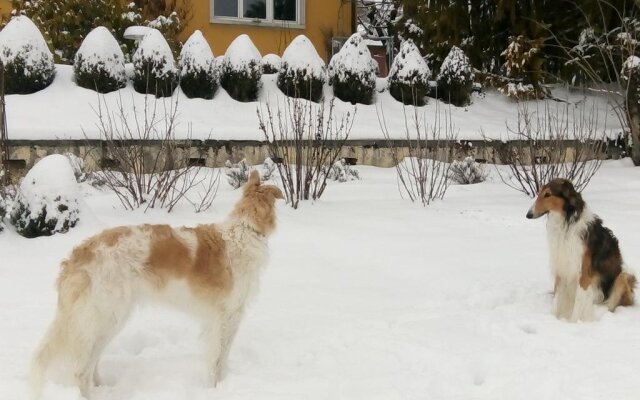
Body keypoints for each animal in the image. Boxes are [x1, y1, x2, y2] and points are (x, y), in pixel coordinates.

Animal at [27, 171, 282, 396]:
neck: (245, 231)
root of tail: (80, 254)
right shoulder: (226, 317)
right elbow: (217, 359)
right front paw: (216, 388)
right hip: (107, 315)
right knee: (81, 369)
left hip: (108, 319)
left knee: (91, 362)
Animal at [524, 178, 636, 322]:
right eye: (539, 193)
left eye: (548, 194)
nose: (528, 214)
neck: (566, 223)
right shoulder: (561, 267)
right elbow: (556, 300)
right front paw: (552, 319)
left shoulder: (583, 274)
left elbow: (578, 303)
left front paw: (572, 323)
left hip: (623, 277)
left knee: (611, 304)